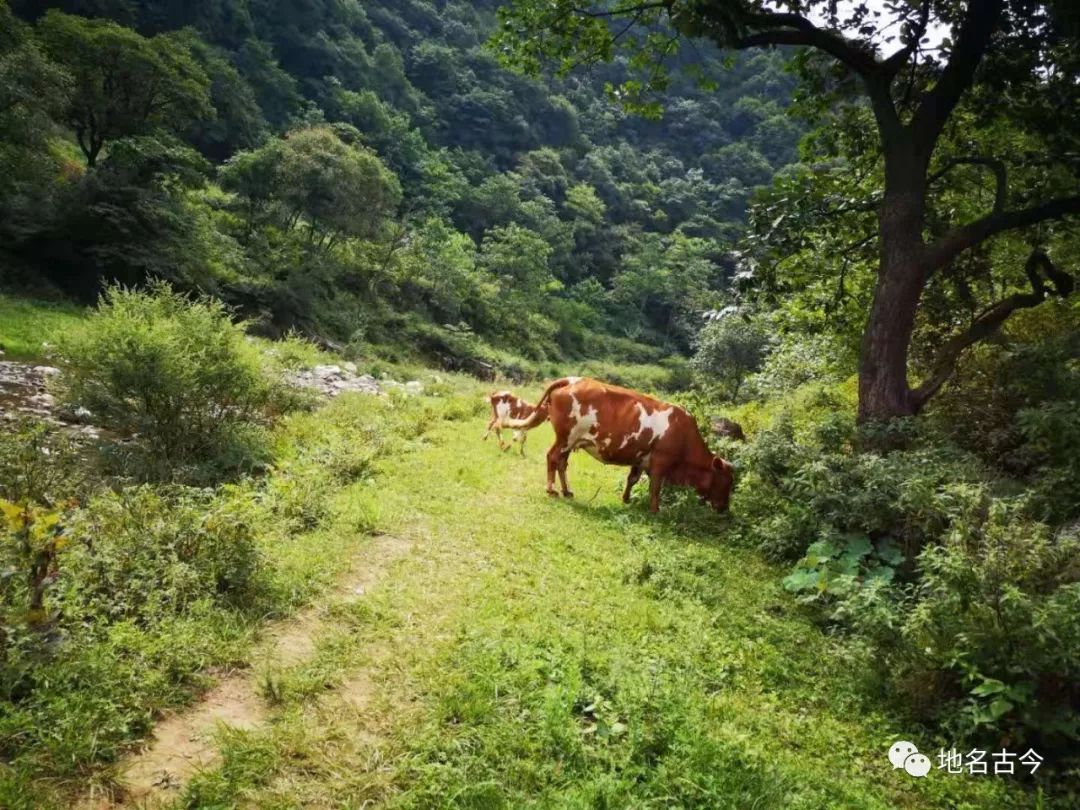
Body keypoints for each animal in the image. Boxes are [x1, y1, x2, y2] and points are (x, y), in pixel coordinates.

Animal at [505, 380, 734, 514]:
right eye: (726, 482)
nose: (724, 508)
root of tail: (573, 380)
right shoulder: (661, 462)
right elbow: (655, 488)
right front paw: (655, 511)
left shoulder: (641, 459)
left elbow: (632, 479)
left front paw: (626, 499)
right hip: (565, 437)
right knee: (552, 457)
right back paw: (551, 489)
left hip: (571, 441)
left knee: (562, 463)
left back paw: (566, 491)